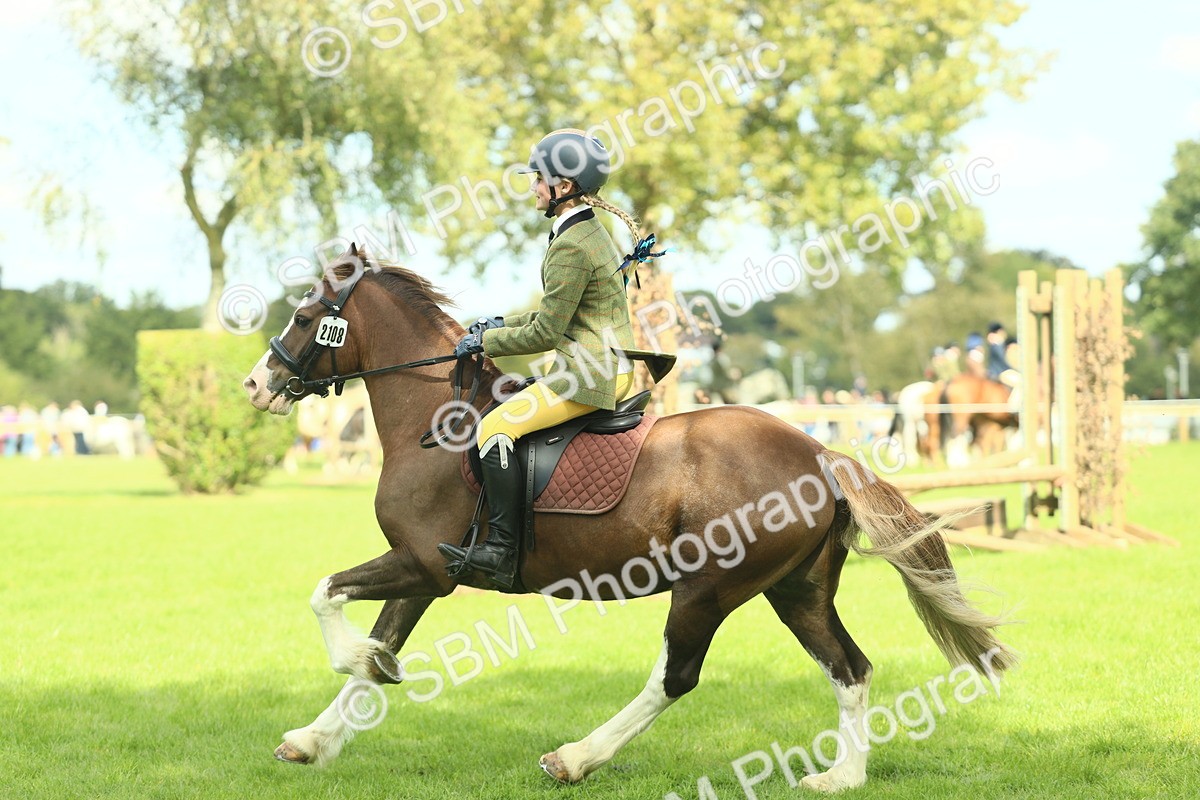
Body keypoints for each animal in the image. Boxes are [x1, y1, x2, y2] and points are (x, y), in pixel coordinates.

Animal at [241, 251, 1016, 791]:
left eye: (305, 318)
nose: (256, 383)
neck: (437, 416)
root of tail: (819, 452)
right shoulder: (423, 573)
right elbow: (378, 645)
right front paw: (316, 736)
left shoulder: (424, 565)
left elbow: (326, 596)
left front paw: (352, 662)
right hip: (796, 592)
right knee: (849, 668)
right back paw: (841, 778)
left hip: (707, 591)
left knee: (676, 678)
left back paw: (575, 758)